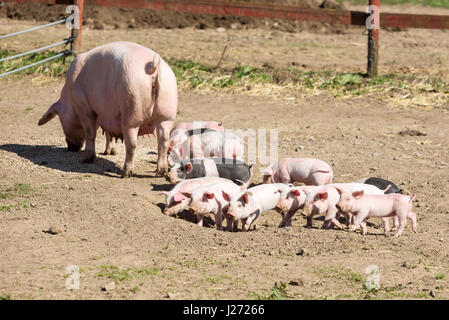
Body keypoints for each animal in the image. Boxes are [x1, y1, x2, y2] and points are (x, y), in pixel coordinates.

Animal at [37, 41, 177, 176]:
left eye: (60, 119)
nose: (71, 148)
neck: (70, 99)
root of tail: (154, 67)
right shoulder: (108, 113)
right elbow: (109, 133)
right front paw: (109, 153)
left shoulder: (84, 106)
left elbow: (90, 133)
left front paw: (87, 159)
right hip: (167, 113)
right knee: (163, 141)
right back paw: (161, 172)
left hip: (132, 110)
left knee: (132, 143)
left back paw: (126, 173)